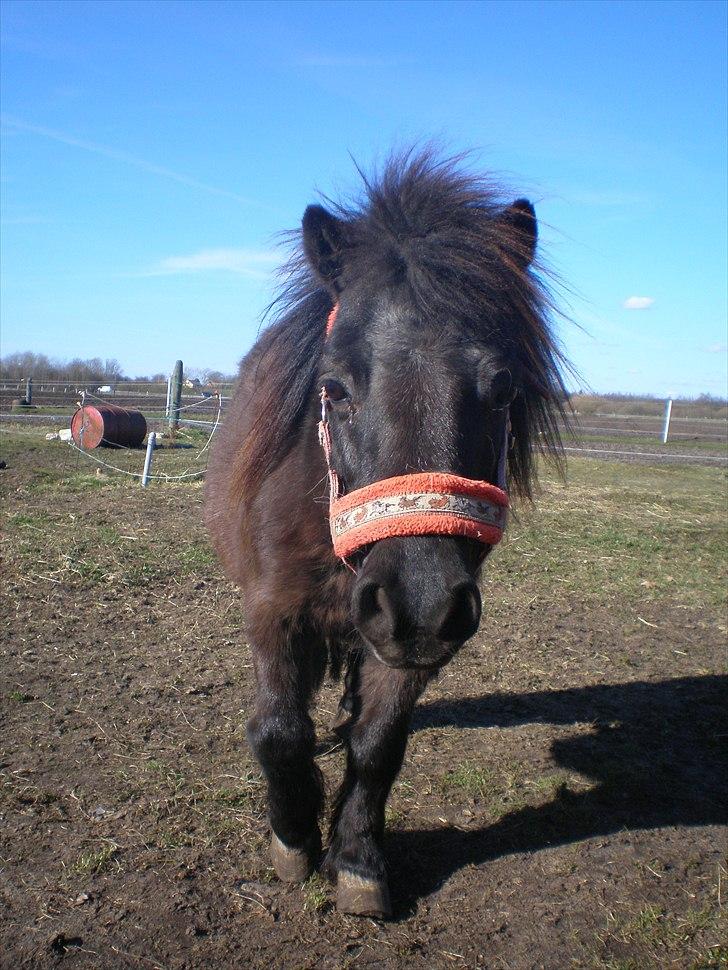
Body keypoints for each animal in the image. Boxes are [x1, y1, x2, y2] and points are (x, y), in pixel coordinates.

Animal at [205, 150, 568, 918]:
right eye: (334, 388)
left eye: (502, 389)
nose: (419, 601)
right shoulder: (273, 610)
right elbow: (279, 733)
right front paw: (292, 840)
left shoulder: (419, 640)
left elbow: (377, 744)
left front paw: (357, 861)